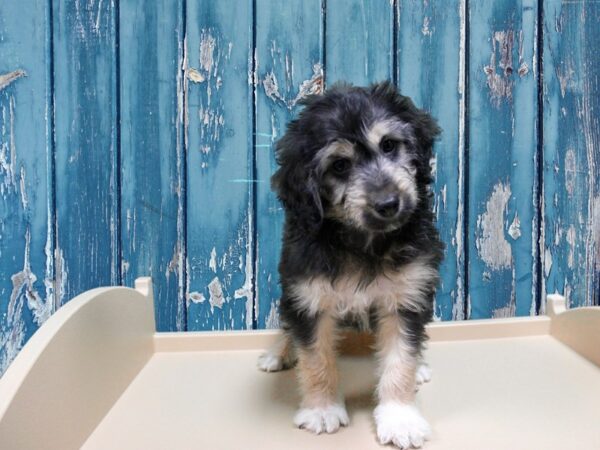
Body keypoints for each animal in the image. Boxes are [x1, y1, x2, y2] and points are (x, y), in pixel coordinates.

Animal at [258, 81, 446, 450]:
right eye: (340, 166)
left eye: (389, 145)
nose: (388, 204)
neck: (363, 243)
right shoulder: (308, 297)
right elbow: (315, 358)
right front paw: (321, 409)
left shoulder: (407, 295)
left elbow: (401, 359)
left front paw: (400, 417)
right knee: (289, 328)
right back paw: (279, 352)